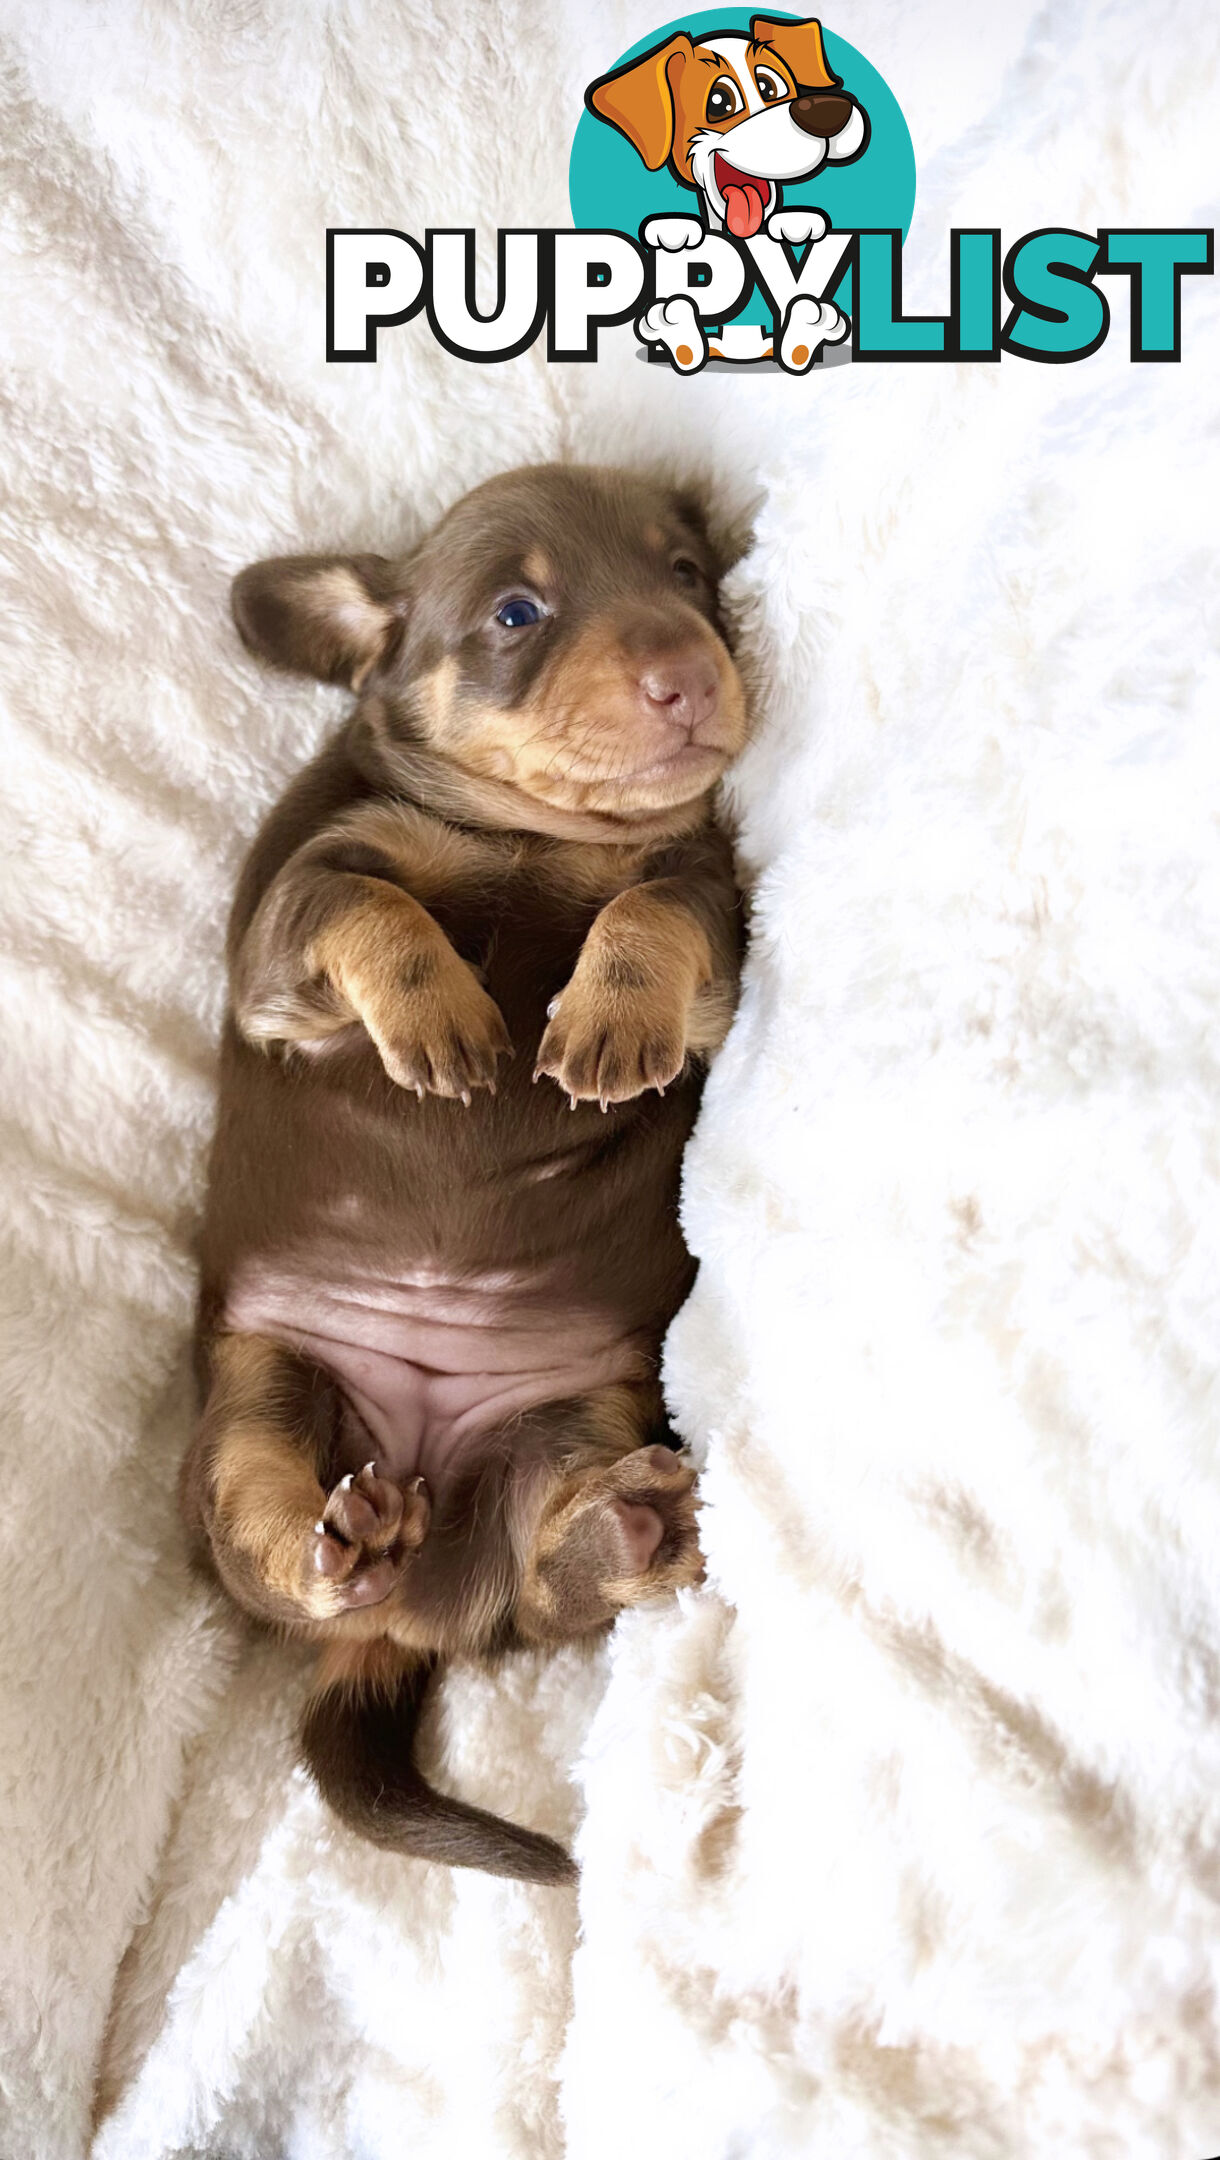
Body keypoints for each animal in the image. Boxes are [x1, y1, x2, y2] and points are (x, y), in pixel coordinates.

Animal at [182, 464, 747, 1883]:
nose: (687, 674)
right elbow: (364, 902)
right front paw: (442, 1017)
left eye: (683, 574)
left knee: (537, 1592)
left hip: (578, 1414)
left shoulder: (709, 906)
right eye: (514, 612)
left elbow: (653, 904)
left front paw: (609, 1018)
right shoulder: (284, 935)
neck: (533, 834)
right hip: (261, 1389)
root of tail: (393, 1617)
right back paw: (335, 1548)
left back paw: (624, 1535)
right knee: (254, 1537)